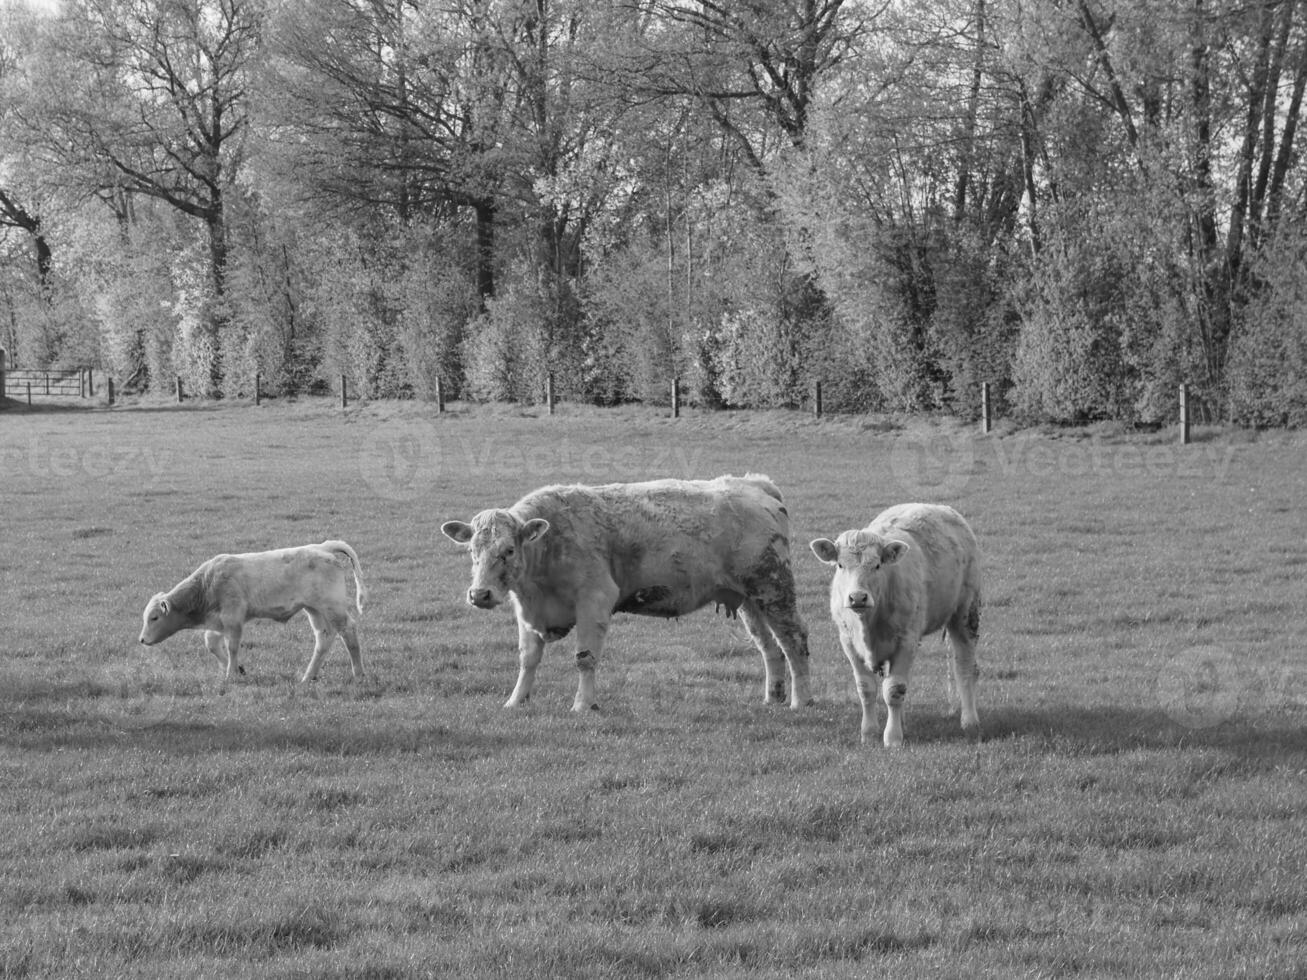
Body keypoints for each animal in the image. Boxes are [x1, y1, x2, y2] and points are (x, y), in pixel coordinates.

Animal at [138, 538, 368, 684]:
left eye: (154, 617)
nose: (141, 640)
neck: (207, 583)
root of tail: (324, 547)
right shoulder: (219, 622)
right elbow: (211, 643)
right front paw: (238, 669)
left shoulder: (233, 618)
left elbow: (232, 647)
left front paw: (230, 674)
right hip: (315, 610)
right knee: (324, 638)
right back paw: (308, 677)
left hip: (332, 607)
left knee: (348, 631)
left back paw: (359, 674)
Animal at [444, 475, 810, 716]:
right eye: (472, 551)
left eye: (508, 550)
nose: (480, 594)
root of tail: (755, 484)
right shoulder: (528, 610)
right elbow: (528, 658)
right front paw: (516, 700)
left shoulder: (594, 599)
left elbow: (585, 658)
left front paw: (583, 704)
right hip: (750, 598)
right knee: (769, 647)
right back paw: (773, 697)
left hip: (774, 588)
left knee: (794, 640)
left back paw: (801, 700)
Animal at [805, 506, 982, 752]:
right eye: (840, 565)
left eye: (877, 565)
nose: (857, 597)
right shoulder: (848, 643)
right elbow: (866, 688)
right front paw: (869, 733)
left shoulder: (906, 641)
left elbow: (894, 690)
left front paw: (893, 737)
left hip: (965, 613)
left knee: (964, 667)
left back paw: (969, 721)